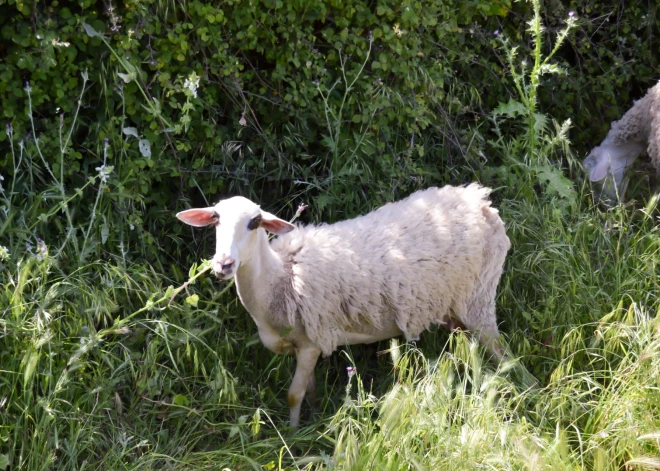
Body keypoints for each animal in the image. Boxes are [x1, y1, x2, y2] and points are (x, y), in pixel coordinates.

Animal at [175, 184, 510, 428]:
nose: (224, 265)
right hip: (454, 308)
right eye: (216, 219)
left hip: (480, 296)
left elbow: (293, 395)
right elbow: (309, 390)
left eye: (254, 222)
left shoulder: (312, 341)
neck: (280, 276)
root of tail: (480, 201)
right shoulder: (303, 343)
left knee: (500, 350)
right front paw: (311, 418)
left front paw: (292, 436)